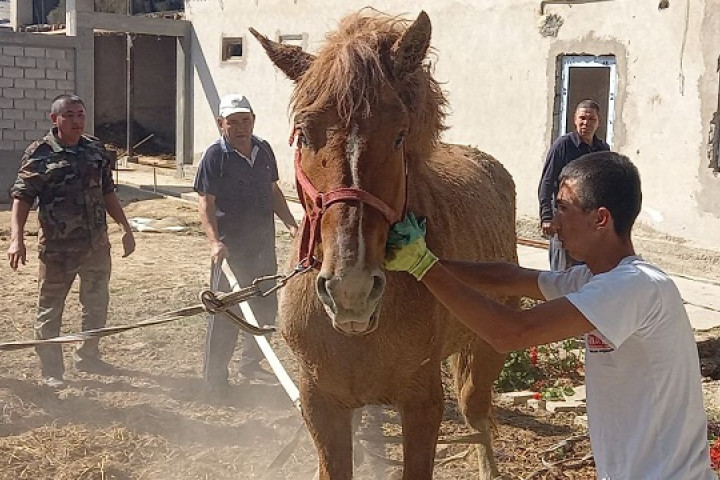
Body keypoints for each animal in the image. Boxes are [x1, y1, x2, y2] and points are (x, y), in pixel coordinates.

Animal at [251, 10, 517, 480]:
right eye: (303, 133)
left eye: (398, 135)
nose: (350, 290)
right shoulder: (322, 405)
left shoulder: (422, 406)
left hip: (485, 354)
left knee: (477, 415)